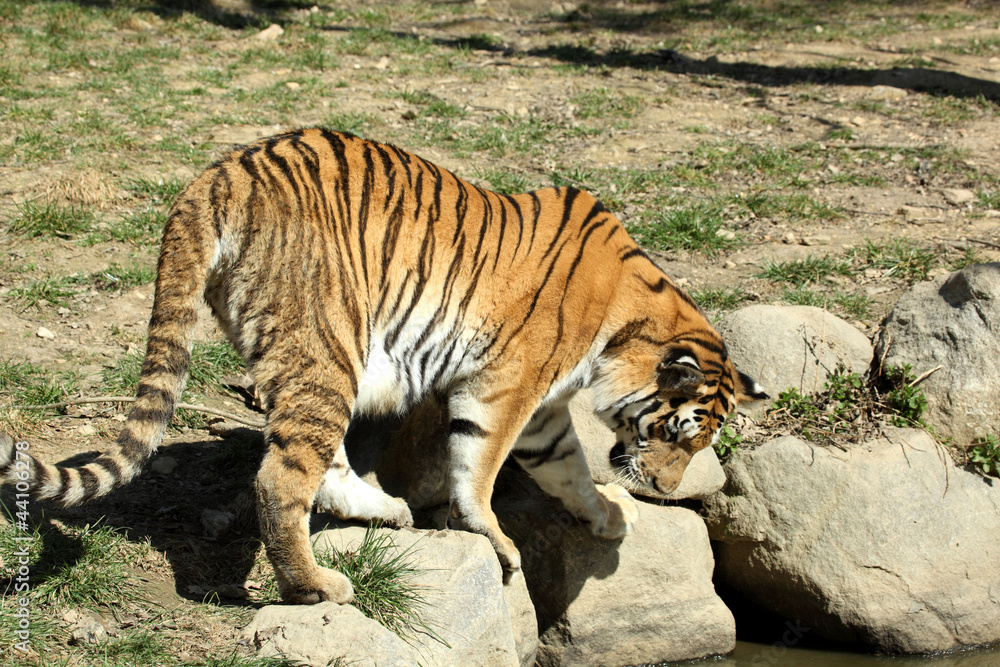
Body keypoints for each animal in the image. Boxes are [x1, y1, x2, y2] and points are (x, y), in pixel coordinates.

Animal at [0, 128, 766, 605]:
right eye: (675, 433)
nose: (664, 488)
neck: (626, 325)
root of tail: (212, 179)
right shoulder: (504, 387)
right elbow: (477, 468)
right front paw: (499, 542)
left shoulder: (545, 411)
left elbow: (567, 467)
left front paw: (605, 516)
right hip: (326, 343)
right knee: (280, 478)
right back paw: (315, 587)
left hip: (317, 361)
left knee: (321, 466)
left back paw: (387, 510)